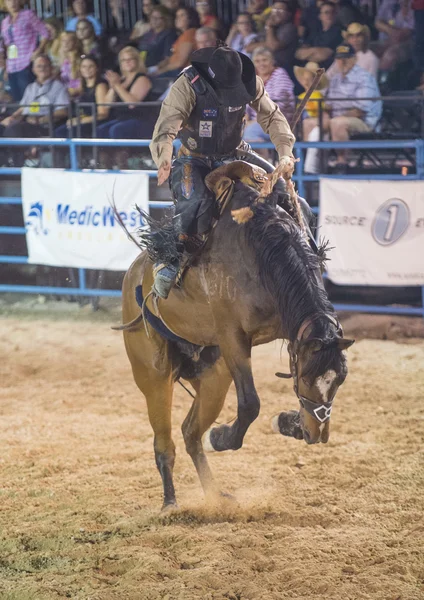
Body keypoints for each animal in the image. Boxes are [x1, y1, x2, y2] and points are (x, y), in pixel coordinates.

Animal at [113, 161, 354, 510]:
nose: (318, 433)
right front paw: (222, 437)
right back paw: (170, 503)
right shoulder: (233, 339)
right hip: (153, 375)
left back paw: (215, 497)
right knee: (164, 442)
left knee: (189, 433)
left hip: (213, 375)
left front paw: (288, 422)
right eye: (307, 377)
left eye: (339, 380)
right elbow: (250, 403)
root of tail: (134, 273)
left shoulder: (287, 330)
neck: (261, 250)